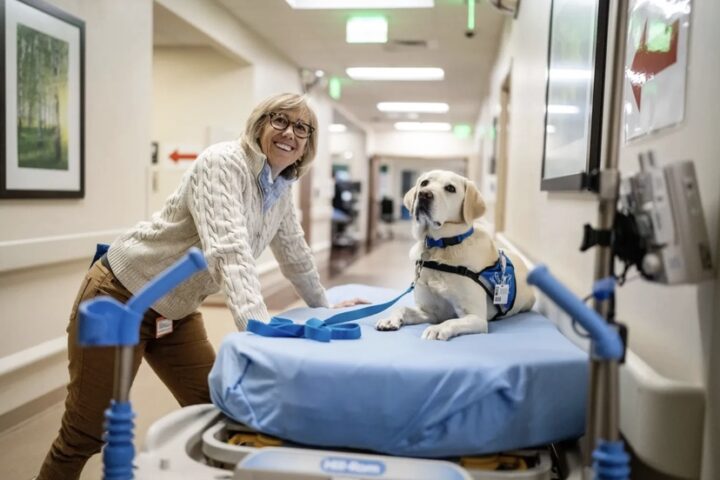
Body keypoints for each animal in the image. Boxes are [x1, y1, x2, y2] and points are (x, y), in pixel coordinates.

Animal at [376, 171, 536, 340]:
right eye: (424, 183)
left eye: (450, 188)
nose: (424, 194)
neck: (440, 247)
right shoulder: (430, 312)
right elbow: (402, 308)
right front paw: (390, 319)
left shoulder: (476, 317)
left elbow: (450, 321)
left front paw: (436, 329)